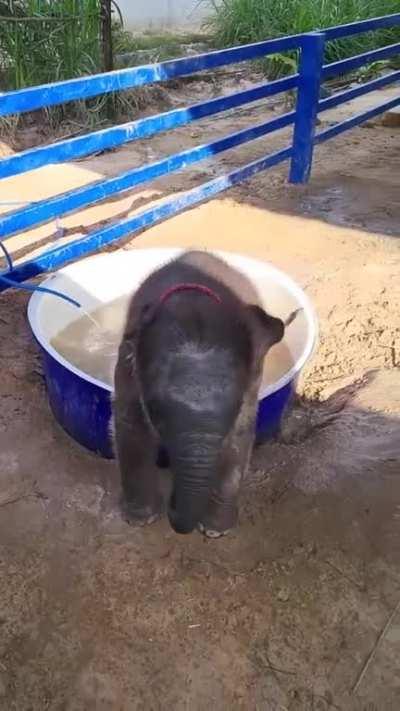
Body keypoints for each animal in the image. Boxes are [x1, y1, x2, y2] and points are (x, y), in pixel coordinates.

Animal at [113, 253, 284, 536]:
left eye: (235, 410)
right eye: (158, 417)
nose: (171, 505)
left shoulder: (253, 376)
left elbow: (240, 435)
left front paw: (215, 531)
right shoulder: (127, 366)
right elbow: (131, 425)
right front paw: (140, 519)